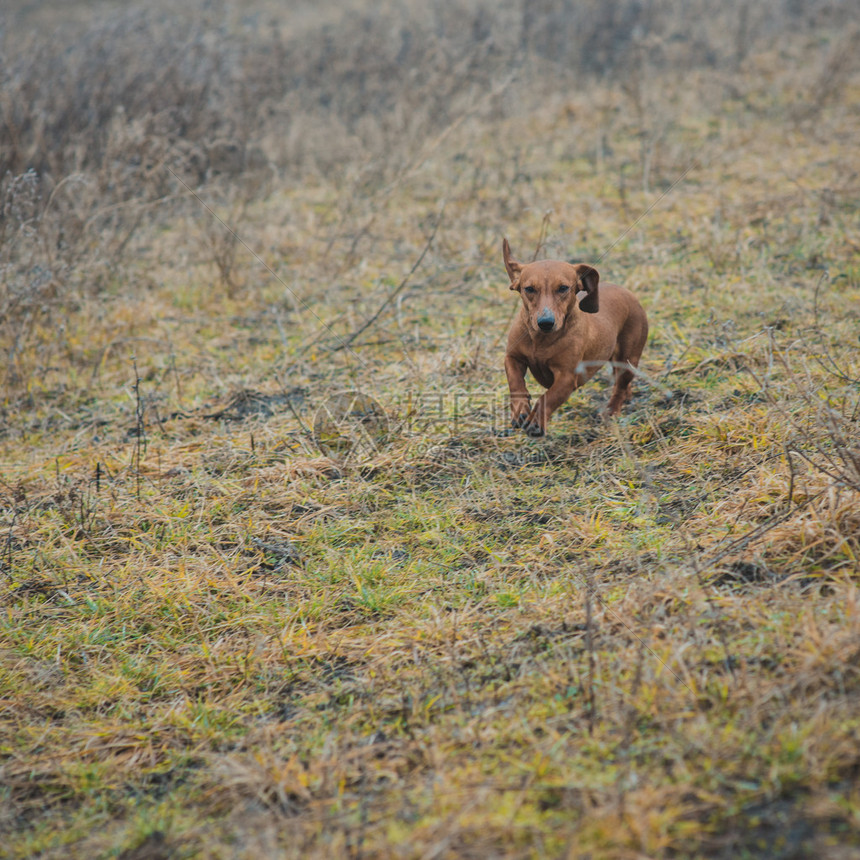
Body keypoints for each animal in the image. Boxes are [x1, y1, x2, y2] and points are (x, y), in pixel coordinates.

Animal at [504, 237, 644, 434]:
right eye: (529, 289)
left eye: (563, 288)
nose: (545, 322)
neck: (541, 341)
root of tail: (628, 293)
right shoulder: (512, 357)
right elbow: (515, 383)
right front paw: (520, 411)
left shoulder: (567, 377)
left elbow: (547, 398)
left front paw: (536, 422)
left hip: (628, 359)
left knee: (619, 387)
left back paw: (612, 411)